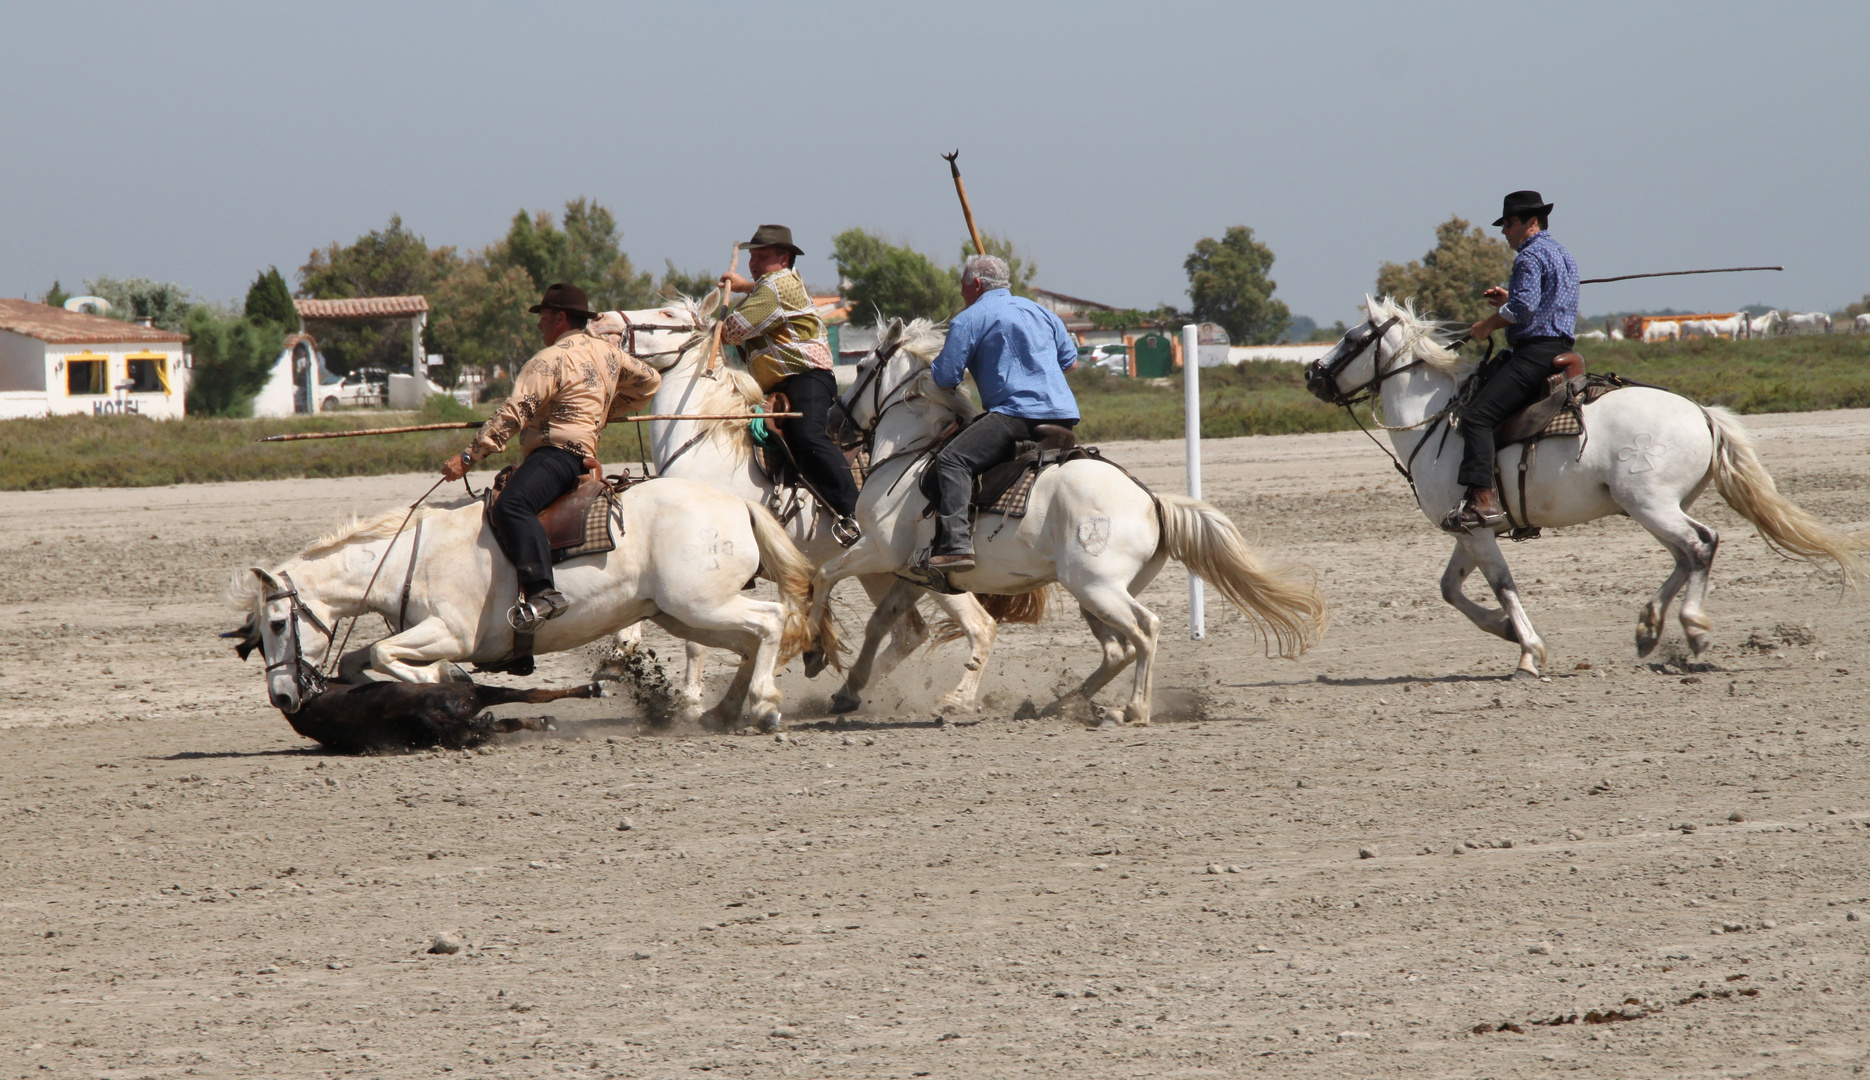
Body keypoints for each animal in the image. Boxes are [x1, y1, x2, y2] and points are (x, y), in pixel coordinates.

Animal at [226, 474, 826, 728]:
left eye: (276, 623)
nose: (282, 697)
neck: (409, 558)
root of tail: (735, 503)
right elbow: (359, 660)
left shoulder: (452, 632)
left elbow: (381, 655)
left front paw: (444, 679)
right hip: (685, 614)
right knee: (749, 643)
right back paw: (723, 712)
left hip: (701, 606)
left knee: (771, 622)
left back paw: (764, 706)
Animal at [594, 298, 1009, 710]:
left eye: (666, 314)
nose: (603, 320)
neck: (705, 441)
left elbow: (693, 638)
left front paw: (686, 694)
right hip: (881, 572)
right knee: (908, 632)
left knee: (949, 627)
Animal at [804, 317, 1331, 724]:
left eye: (864, 367)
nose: (831, 420)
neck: (911, 458)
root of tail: (1151, 501)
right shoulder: (911, 575)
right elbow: (880, 624)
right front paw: (848, 690)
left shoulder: (882, 551)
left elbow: (825, 576)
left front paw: (815, 651)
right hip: (1094, 594)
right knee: (1119, 649)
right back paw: (1066, 703)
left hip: (1097, 588)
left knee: (1145, 631)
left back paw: (1132, 710)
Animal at [1309, 295, 1862, 676]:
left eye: (1352, 338)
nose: (1312, 374)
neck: (1440, 419)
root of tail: (1702, 413)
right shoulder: (1468, 530)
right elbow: (1450, 588)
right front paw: (1507, 633)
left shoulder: (1479, 530)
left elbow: (1503, 586)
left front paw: (1529, 651)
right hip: (1650, 508)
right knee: (1687, 554)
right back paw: (1649, 626)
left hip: (1651, 506)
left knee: (1701, 544)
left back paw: (1692, 627)